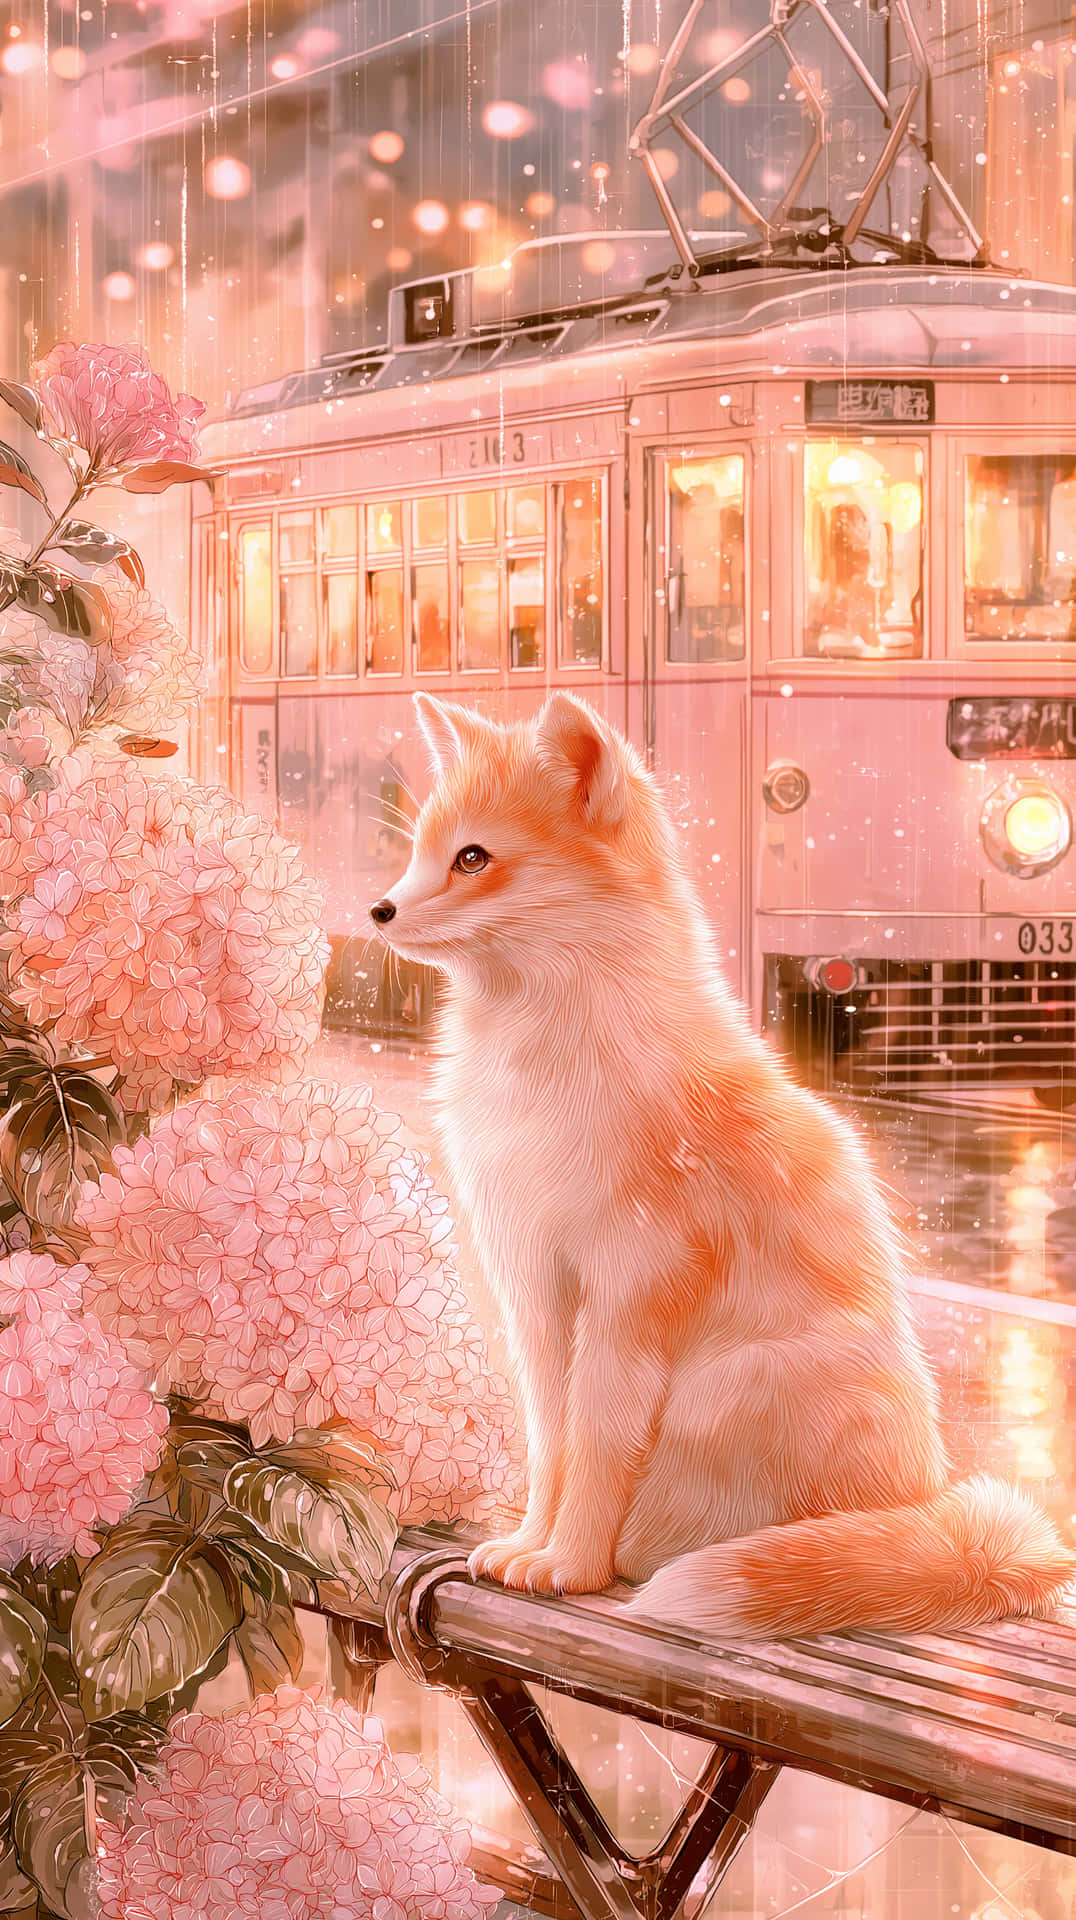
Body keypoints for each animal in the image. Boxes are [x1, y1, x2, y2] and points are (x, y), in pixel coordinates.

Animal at [368, 689, 1075, 1638]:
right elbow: (551, 1441)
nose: (377, 911)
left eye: (472, 858)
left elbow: (597, 1447)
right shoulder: (535, 1288)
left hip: (725, 1387)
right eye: (418, 852)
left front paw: (572, 1567)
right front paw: (528, 1546)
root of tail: (927, 1501)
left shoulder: (631, 1290)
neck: (544, 1063)